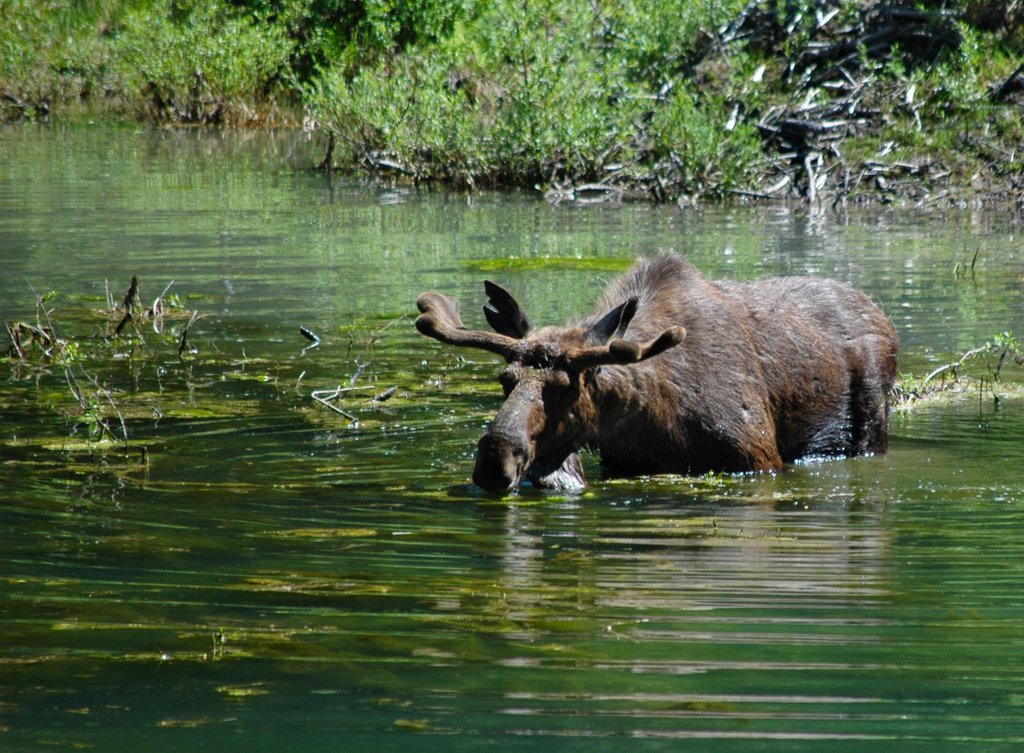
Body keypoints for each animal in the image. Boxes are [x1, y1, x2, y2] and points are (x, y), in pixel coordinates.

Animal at [415, 253, 897, 495]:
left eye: (565, 388)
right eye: (505, 380)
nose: (495, 461)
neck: (652, 416)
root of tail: (882, 315)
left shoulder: (760, 459)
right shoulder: (622, 463)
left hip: (872, 422)